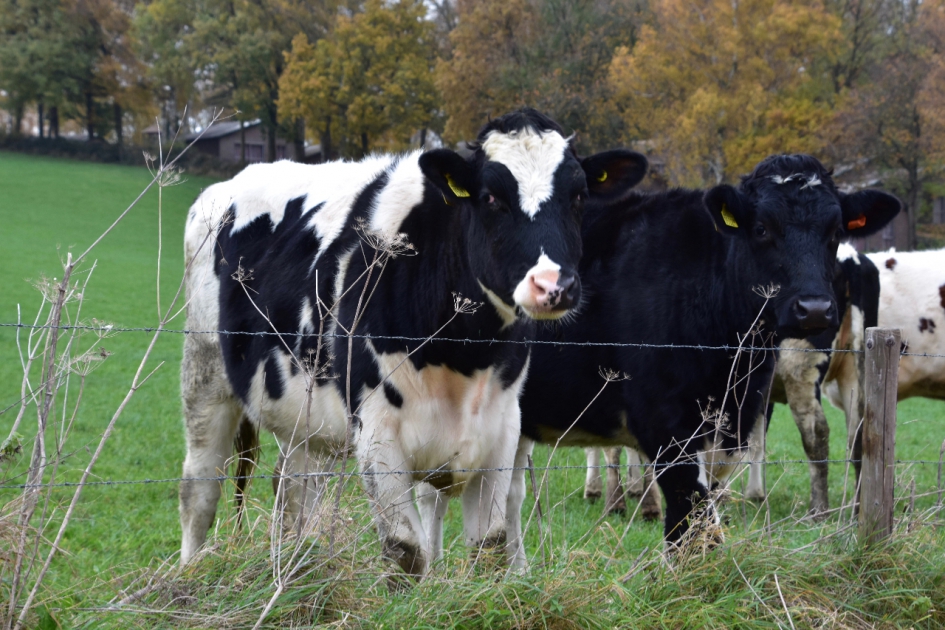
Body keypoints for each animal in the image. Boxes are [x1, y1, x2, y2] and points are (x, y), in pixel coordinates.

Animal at [179, 108, 646, 578]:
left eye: (579, 196)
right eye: (490, 197)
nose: (554, 285)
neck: (463, 356)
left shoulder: (502, 430)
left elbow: (491, 546)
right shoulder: (378, 437)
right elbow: (406, 553)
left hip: (301, 415)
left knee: (291, 491)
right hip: (204, 375)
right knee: (200, 489)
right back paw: (188, 572)